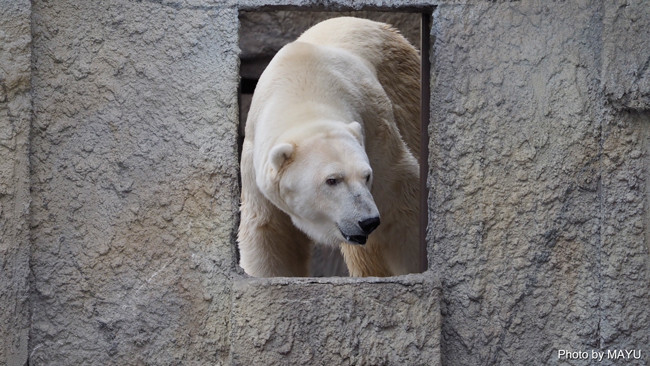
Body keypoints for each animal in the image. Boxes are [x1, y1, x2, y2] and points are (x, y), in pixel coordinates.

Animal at [238, 15, 420, 276]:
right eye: (332, 180)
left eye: (367, 175)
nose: (368, 221)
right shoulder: (256, 167)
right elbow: (270, 234)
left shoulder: (377, 131)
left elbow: (401, 206)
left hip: (406, 88)